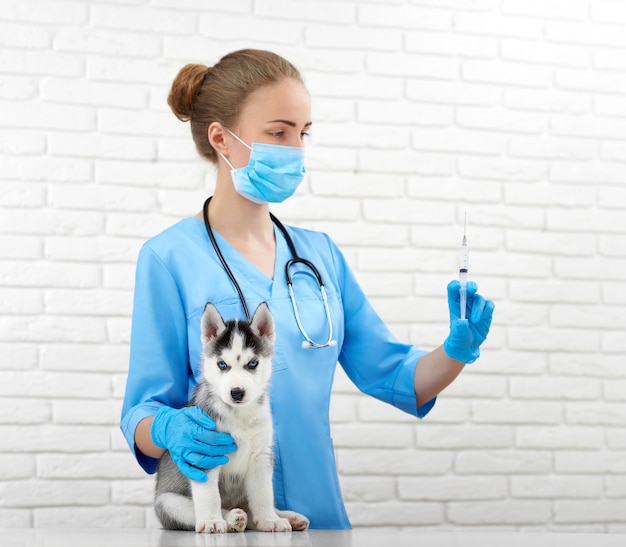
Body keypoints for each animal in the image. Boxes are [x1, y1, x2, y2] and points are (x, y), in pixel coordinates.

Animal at [154, 302, 310, 532]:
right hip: (168, 503)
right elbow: (209, 496)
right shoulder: (203, 453)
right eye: (222, 364)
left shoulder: (261, 456)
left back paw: (285, 517)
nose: (237, 392)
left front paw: (269, 519)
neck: (240, 416)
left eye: (252, 363)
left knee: (252, 512)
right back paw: (231, 518)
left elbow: (264, 494)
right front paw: (212, 520)